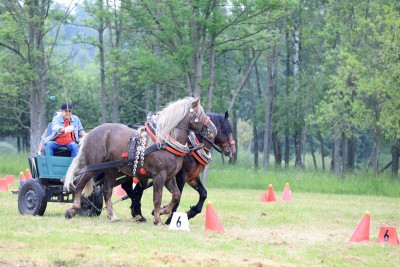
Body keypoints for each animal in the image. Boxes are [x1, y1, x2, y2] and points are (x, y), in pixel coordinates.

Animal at [64, 97, 217, 225]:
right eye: (199, 114)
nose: (213, 130)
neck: (165, 142)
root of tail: (89, 134)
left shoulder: (170, 177)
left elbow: (176, 196)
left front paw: (164, 211)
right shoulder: (159, 176)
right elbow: (157, 197)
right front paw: (158, 219)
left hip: (111, 169)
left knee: (107, 190)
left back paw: (112, 216)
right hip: (93, 167)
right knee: (79, 185)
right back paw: (72, 210)